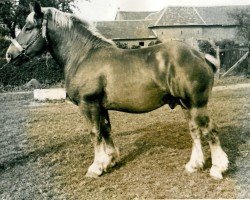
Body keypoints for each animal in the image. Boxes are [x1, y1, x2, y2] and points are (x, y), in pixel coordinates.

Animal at [5, 1, 229, 180]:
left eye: (28, 27)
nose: (9, 55)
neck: (83, 56)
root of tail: (199, 55)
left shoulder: (89, 104)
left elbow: (95, 133)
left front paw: (96, 167)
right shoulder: (101, 106)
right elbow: (106, 130)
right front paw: (109, 160)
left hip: (197, 104)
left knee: (210, 130)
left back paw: (217, 169)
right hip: (185, 104)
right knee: (195, 131)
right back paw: (194, 165)